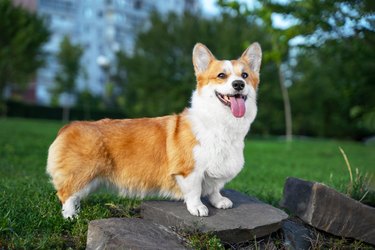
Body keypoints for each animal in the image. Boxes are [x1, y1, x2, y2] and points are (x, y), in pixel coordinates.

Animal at [47, 43, 262, 219]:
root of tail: (68, 126)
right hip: (83, 172)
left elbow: (215, 187)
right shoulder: (189, 170)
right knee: (66, 193)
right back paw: (71, 216)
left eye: (245, 75)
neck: (220, 124)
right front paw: (198, 208)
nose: (238, 85)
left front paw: (219, 201)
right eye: (221, 76)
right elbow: (194, 191)